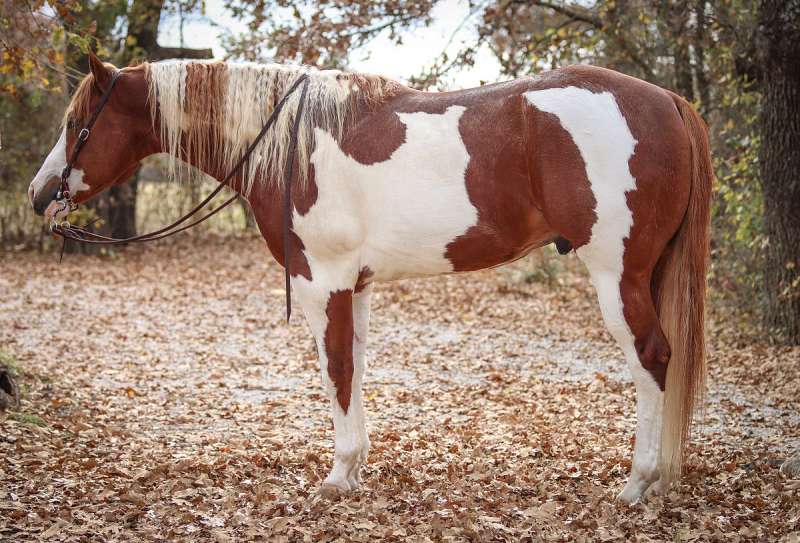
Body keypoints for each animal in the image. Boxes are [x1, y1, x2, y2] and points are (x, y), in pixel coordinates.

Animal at [28, 52, 711, 504]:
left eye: (78, 124)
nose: (39, 196)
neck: (290, 143)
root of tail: (665, 102)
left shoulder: (320, 281)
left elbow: (334, 369)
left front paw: (337, 476)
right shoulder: (352, 286)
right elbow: (353, 369)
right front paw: (354, 470)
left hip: (617, 276)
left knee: (652, 359)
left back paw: (637, 485)